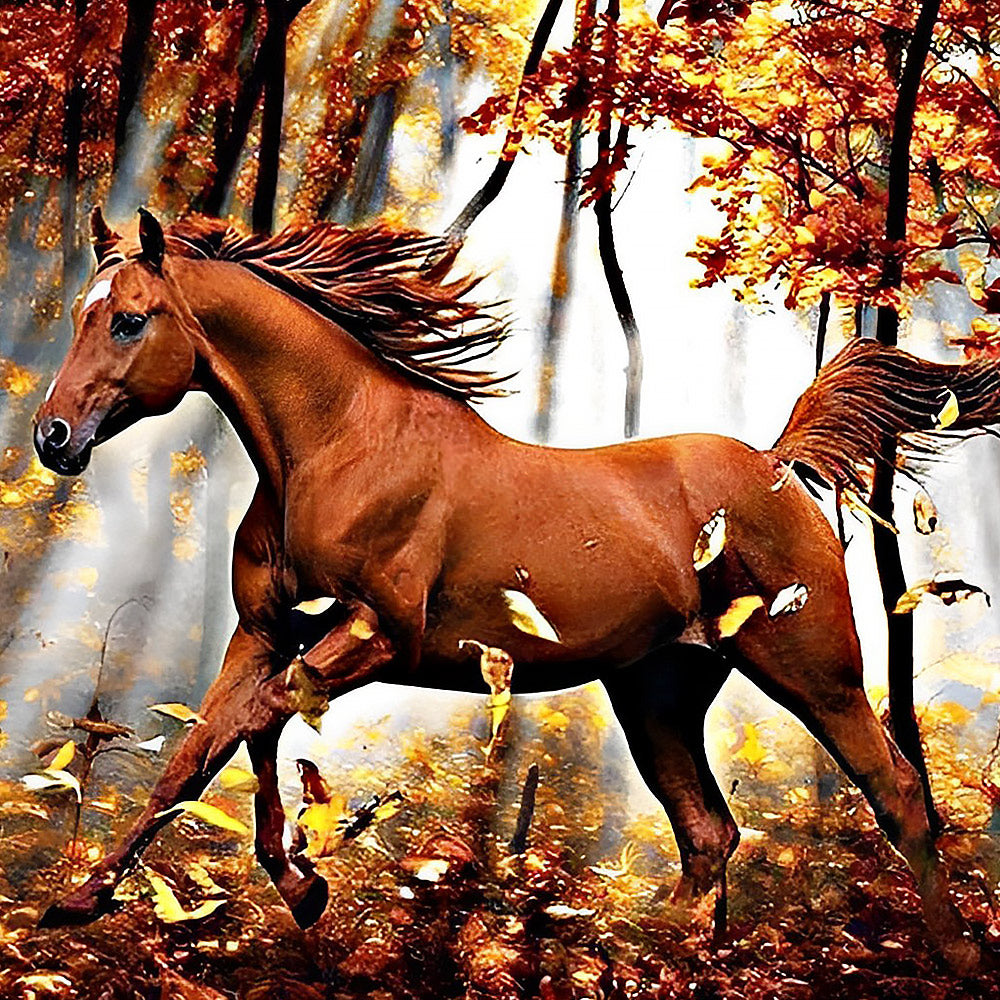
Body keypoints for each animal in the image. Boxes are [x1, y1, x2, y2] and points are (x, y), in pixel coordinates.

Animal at [31, 206, 1000, 972]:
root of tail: (775, 465)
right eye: (84, 314)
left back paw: (953, 955)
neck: (337, 445)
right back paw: (659, 950)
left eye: (130, 320)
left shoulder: (375, 634)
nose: (53, 437)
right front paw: (80, 902)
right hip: (657, 696)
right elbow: (201, 750)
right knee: (708, 832)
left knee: (895, 787)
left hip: (814, 668)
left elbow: (254, 724)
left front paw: (302, 883)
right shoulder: (267, 631)